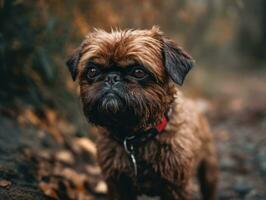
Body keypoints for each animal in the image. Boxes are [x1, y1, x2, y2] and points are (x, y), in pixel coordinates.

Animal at [66, 27, 218, 200]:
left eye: (138, 72)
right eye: (92, 71)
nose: (112, 77)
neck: (134, 138)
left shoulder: (176, 188)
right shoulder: (117, 186)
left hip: (209, 169)